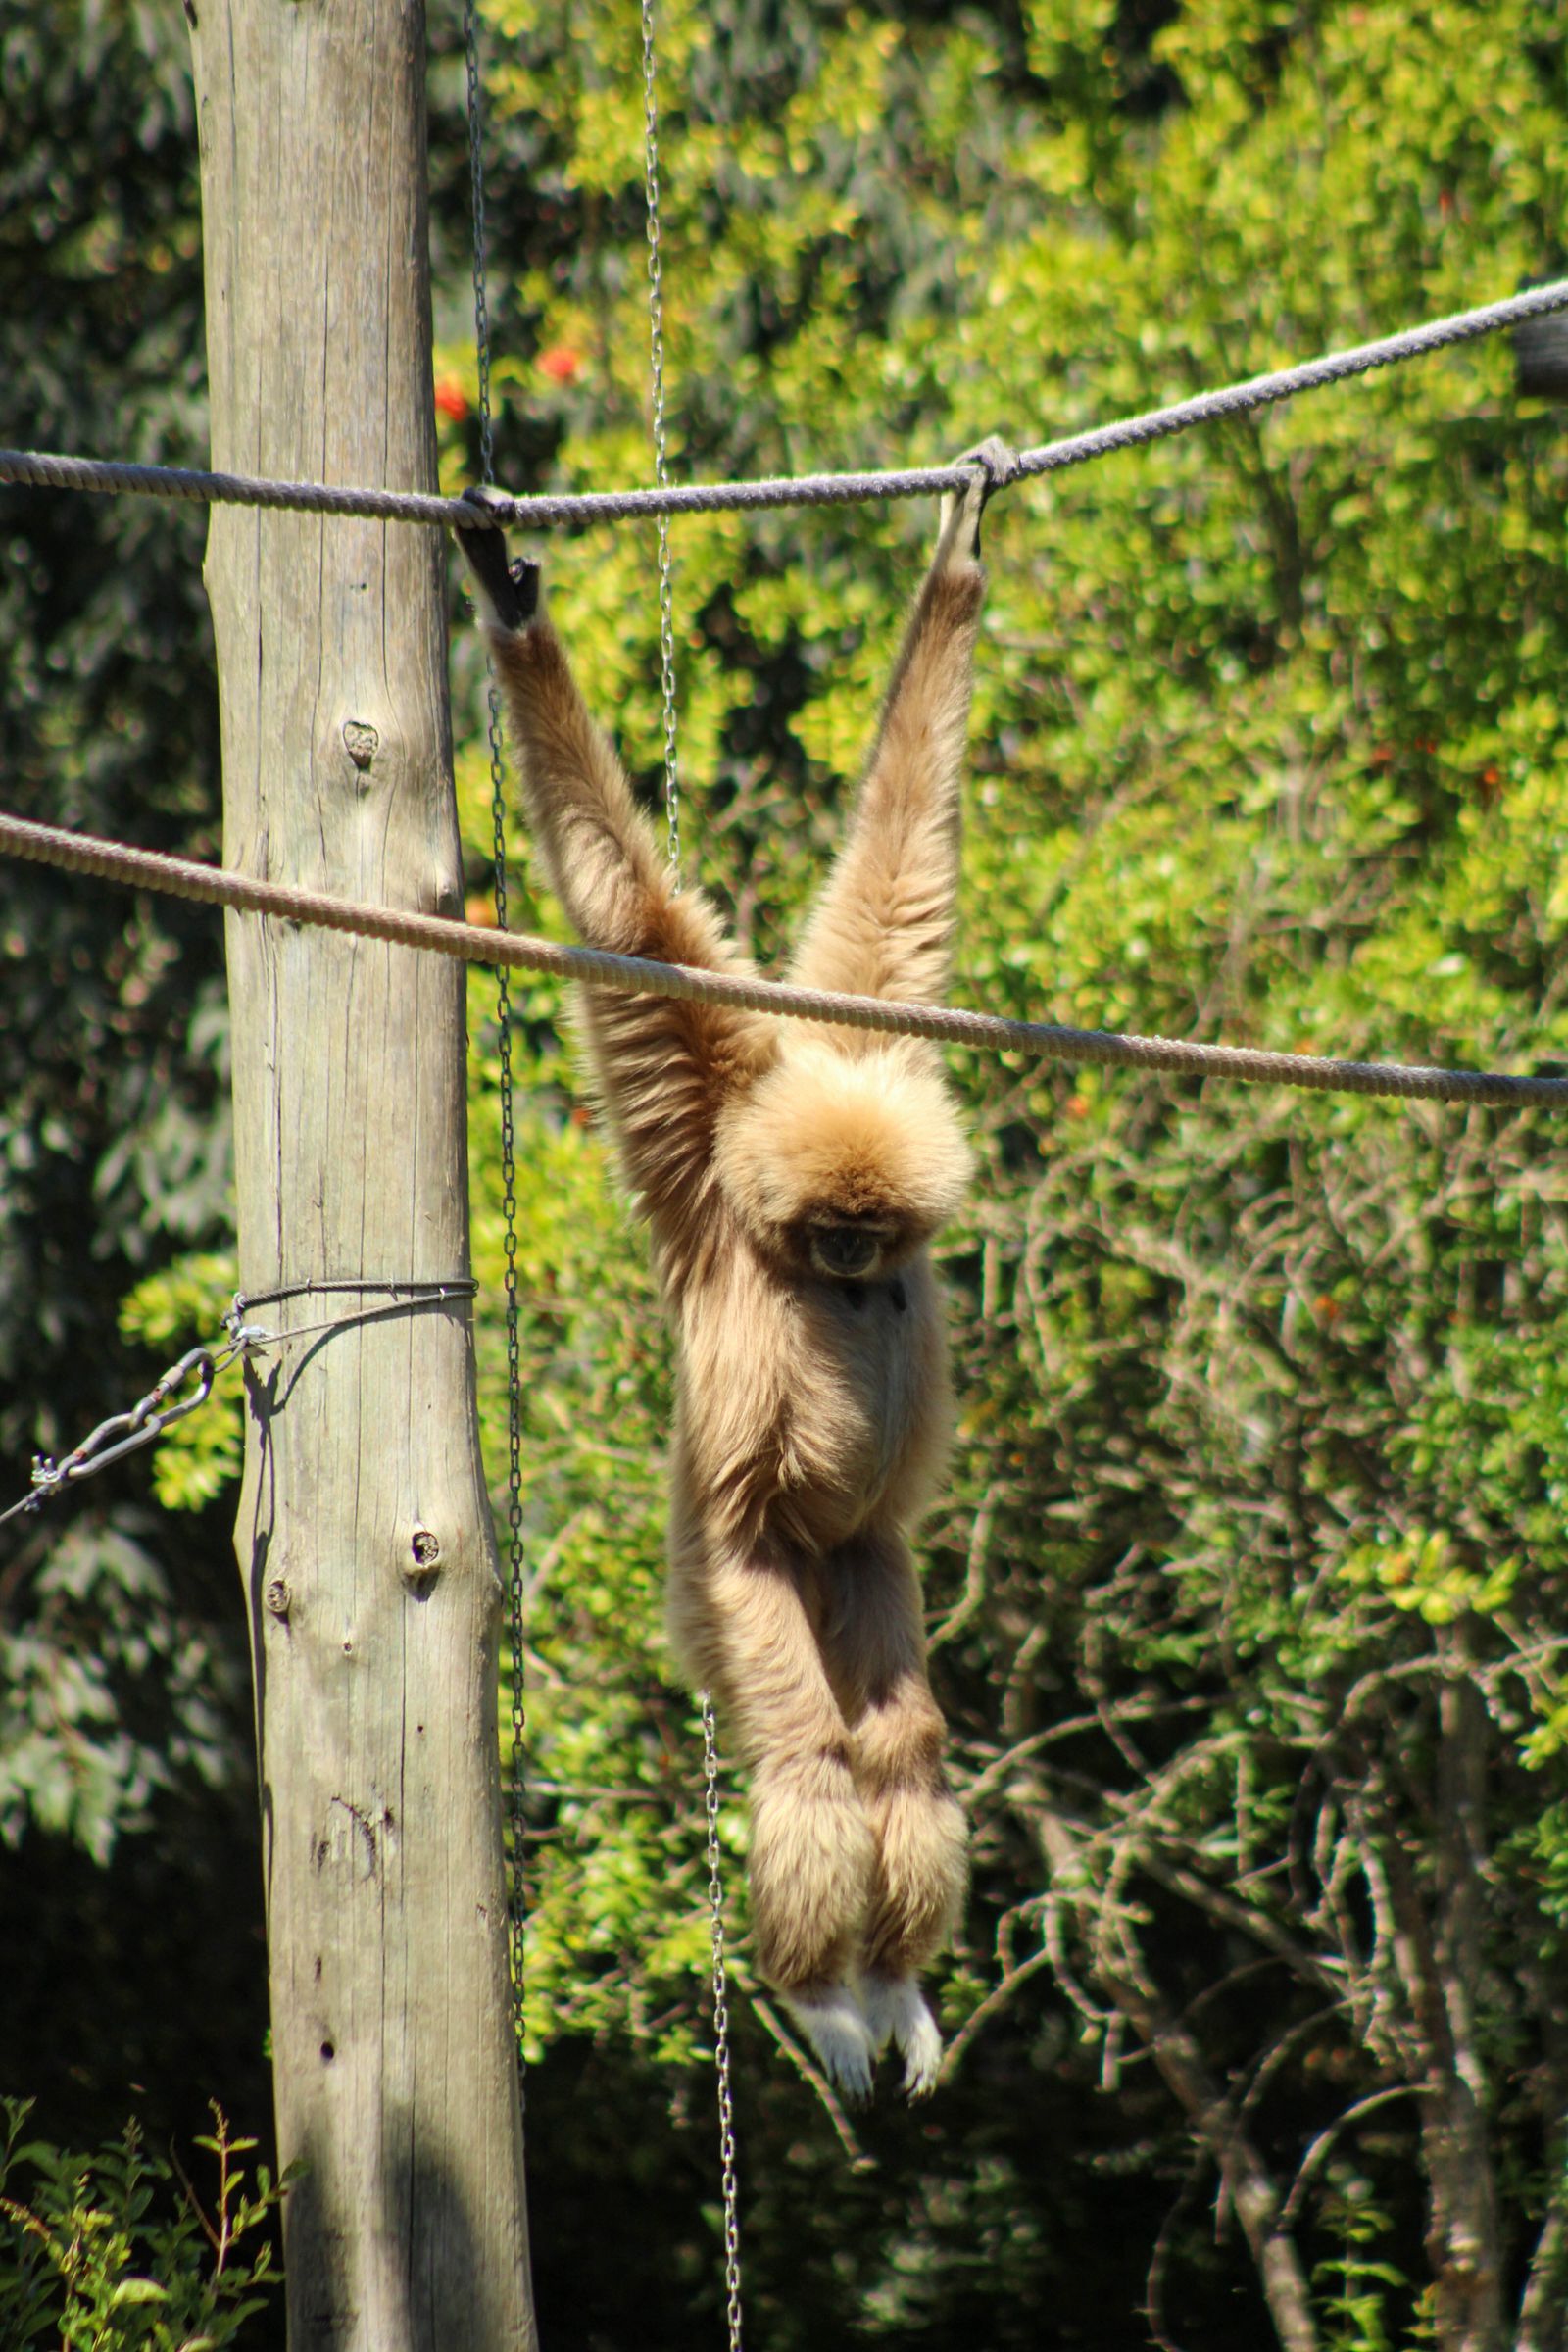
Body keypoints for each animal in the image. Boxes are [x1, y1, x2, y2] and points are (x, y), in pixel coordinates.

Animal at [456, 448, 999, 2097]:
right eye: (827, 1242)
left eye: (872, 1239)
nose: (857, 1262)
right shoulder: (700, 1126)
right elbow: (629, 921)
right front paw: (511, 610)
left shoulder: (872, 1024)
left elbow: (898, 880)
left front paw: (958, 567)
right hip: (729, 1569)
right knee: (815, 1759)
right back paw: (829, 1999)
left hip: (862, 1560)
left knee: (901, 1750)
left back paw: (891, 1987)